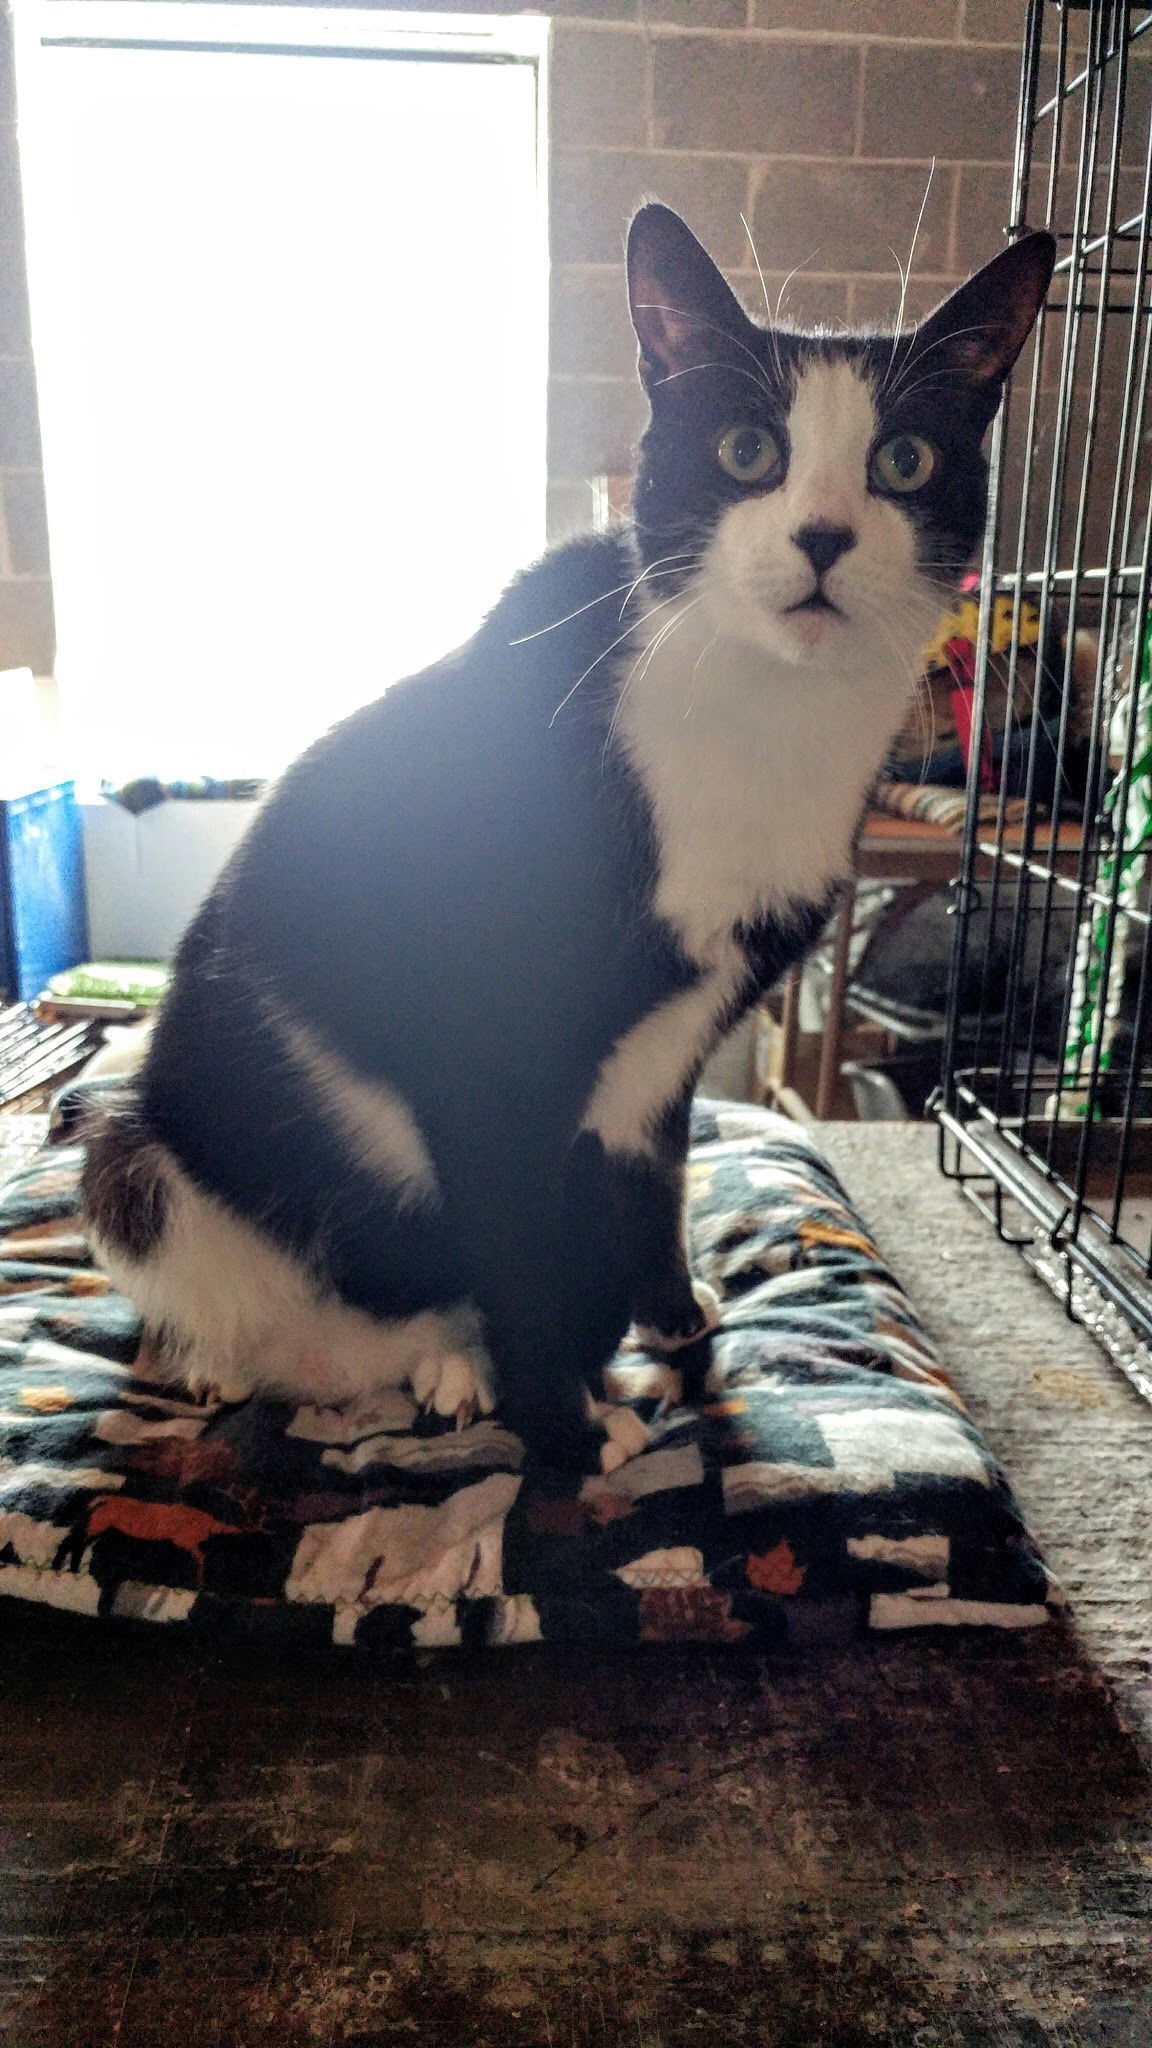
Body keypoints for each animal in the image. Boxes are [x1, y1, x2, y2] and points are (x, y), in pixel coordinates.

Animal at [78, 203, 1049, 1474]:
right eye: (748, 450)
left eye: (905, 461)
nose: (826, 535)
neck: (760, 712)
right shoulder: (481, 1050)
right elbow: (518, 1249)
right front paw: (566, 1435)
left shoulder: (672, 1045)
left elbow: (659, 1172)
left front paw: (675, 1323)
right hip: (141, 1152)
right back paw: (307, 1360)